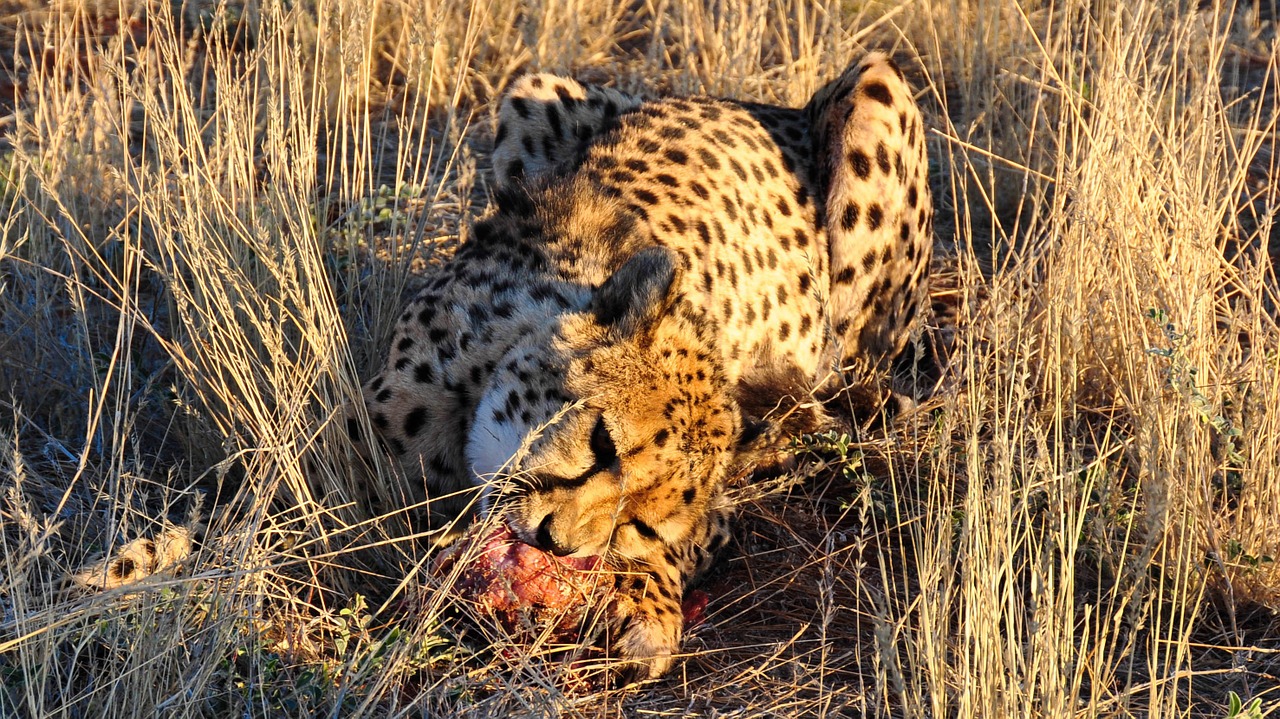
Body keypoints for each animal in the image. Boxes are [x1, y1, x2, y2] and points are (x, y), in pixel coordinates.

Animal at [350, 53, 931, 675]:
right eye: (602, 442)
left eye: (640, 522)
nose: (554, 541)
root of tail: (750, 102)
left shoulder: (712, 521)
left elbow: (679, 551)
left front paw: (645, 607)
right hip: (532, 91)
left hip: (875, 83)